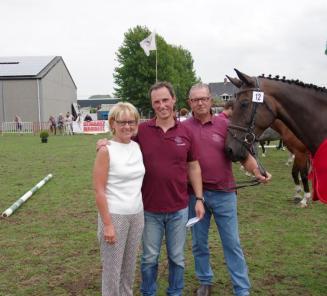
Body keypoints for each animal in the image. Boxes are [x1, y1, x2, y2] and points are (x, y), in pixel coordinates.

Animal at [226, 69, 327, 204]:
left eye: (244, 103)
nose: (229, 149)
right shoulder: (298, 152)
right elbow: (295, 172)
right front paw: (298, 194)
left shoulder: (300, 153)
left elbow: (302, 173)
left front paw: (305, 198)